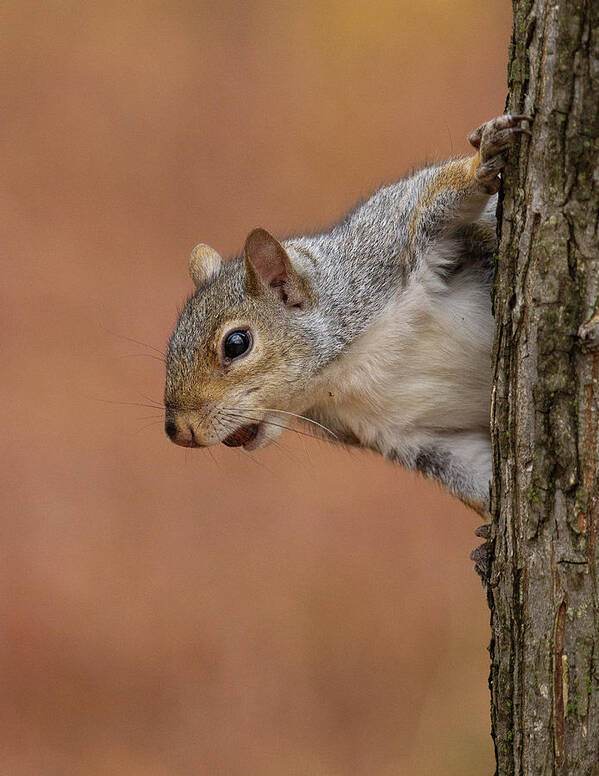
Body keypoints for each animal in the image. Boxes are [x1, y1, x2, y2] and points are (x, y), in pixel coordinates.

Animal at [164, 115, 536, 516]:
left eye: (236, 344)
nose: (178, 431)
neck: (342, 371)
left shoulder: (381, 248)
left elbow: (432, 197)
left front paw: (484, 155)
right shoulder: (405, 435)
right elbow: (468, 472)